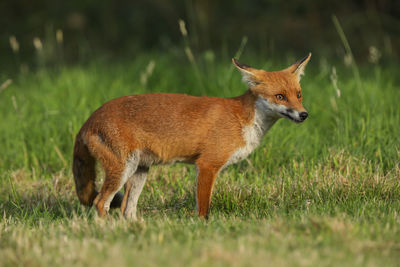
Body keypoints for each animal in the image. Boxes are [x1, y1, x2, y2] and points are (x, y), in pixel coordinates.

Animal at [72, 53, 312, 221]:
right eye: (280, 96)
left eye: (298, 95)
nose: (304, 115)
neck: (242, 120)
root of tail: (89, 119)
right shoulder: (207, 164)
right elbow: (203, 209)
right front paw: (203, 228)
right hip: (122, 169)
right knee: (100, 202)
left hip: (139, 171)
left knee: (126, 209)